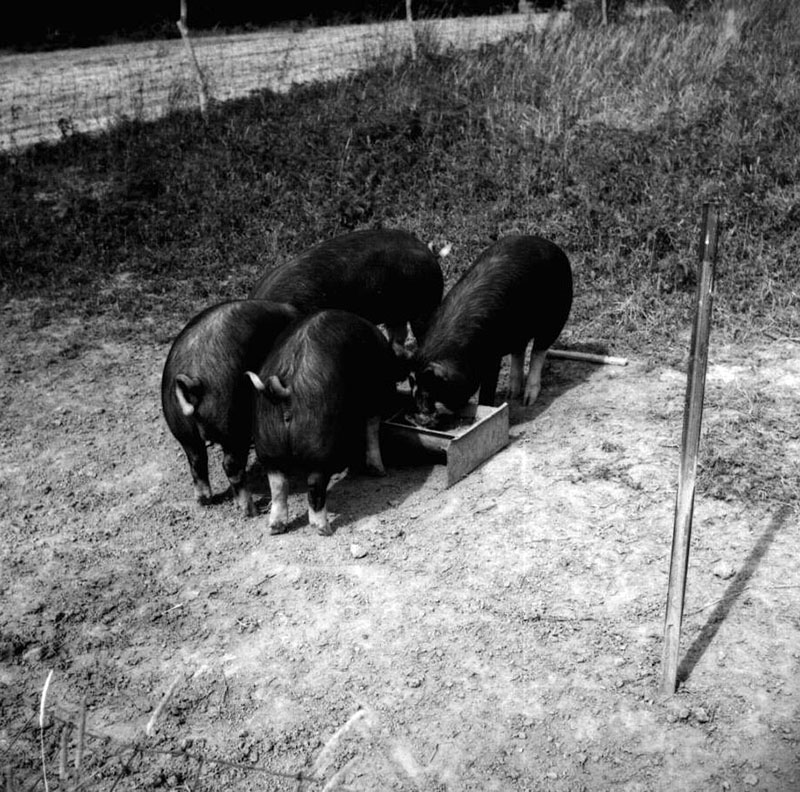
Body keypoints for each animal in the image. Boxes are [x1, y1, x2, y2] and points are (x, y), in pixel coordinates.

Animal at [161, 300, 298, 516]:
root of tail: (192, 385)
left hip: (181, 427)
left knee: (196, 461)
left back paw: (205, 501)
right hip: (233, 424)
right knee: (231, 466)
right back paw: (250, 511)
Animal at [245, 310, 398, 540]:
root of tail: (285, 390)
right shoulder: (375, 399)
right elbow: (372, 428)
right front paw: (379, 471)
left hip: (267, 442)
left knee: (278, 484)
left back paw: (275, 528)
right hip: (319, 444)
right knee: (315, 485)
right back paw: (324, 529)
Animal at [410, 234, 572, 426]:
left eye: (433, 389)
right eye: (414, 388)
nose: (419, 419)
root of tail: (550, 244)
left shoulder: (491, 357)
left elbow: (488, 388)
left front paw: (488, 409)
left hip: (557, 316)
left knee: (539, 351)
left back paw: (527, 400)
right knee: (519, 351)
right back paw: (511, 394)